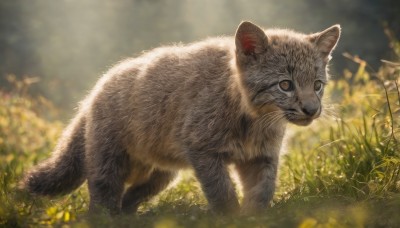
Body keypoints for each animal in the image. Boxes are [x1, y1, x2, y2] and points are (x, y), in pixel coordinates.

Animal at [22, 20, 340, 215]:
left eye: (317, 85)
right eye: (285, 85)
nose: (311, 109)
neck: (254, 121)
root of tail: (96, 90)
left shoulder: (262, 157)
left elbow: (262, 192)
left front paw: (254, 218)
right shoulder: (204, 151)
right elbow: (222, 193)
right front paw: (231, 217)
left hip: (161, 175)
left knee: (129, 197)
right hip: (107, 163)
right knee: (103, 201)